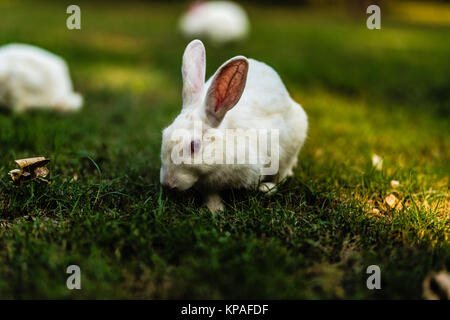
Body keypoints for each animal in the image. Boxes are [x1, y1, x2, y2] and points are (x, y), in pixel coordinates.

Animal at [160, 40, 308, 212]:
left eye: (194, 146)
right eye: (164, 134)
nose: (168, 184)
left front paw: (267, 189)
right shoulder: (208, 185)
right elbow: (211, 194)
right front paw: (215, 210)